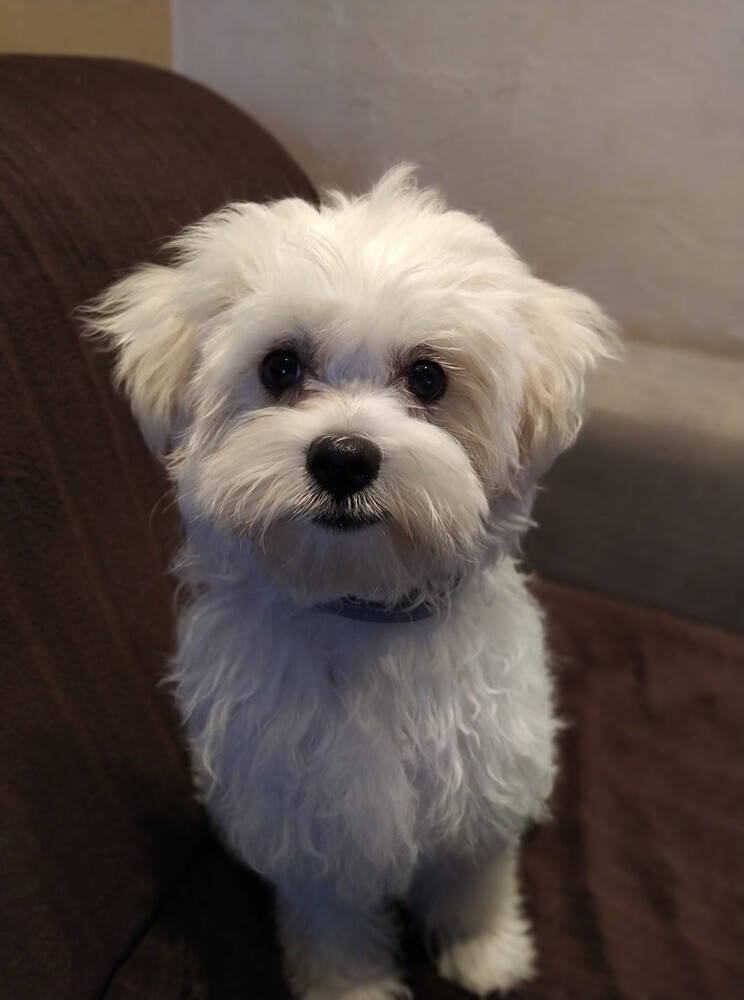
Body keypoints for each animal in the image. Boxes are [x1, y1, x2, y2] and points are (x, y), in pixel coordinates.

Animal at [87, 166, 615, 999]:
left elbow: (476, 879)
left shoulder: (481, 778)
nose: (343, 457)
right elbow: (332, 919)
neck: (362, 608)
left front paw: (486, 949)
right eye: (279, 367)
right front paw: (349, 986)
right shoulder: (308, 817)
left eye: (428, 377)